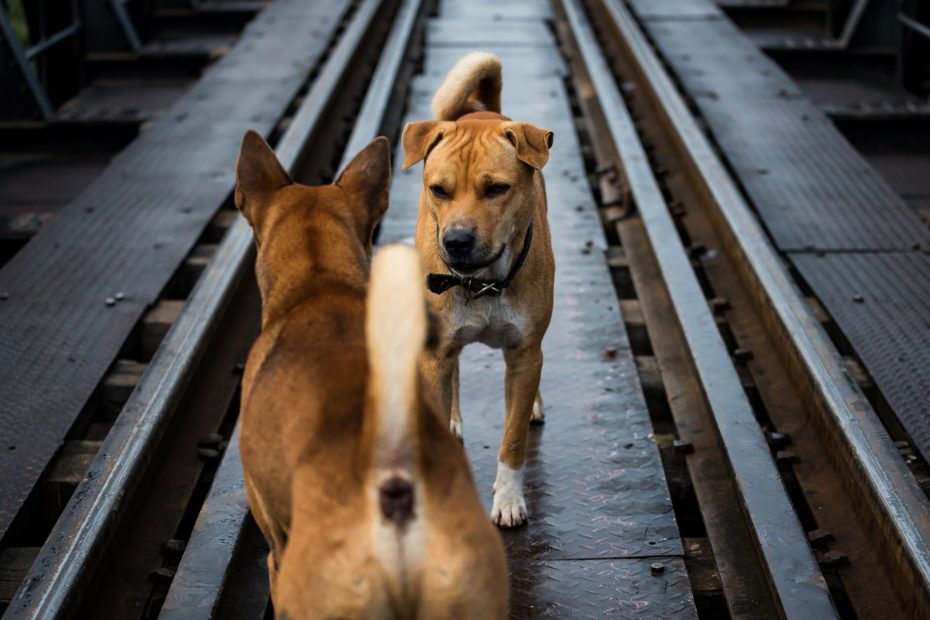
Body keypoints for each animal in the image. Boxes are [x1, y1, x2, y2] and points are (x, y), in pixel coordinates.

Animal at [398, 53, 552, 528]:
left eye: (497, 188)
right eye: (438, 189)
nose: (457, 240)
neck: (481, 281)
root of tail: (479, 110)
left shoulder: (524, 352)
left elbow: (513, 440)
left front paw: (509, 498)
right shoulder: (437, 350)